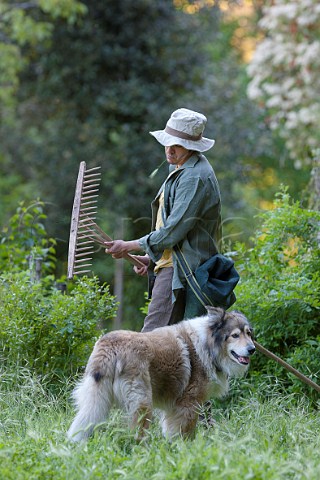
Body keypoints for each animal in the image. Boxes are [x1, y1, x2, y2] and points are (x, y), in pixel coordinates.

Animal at [67, 306, 255, 440]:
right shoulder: (188, 404)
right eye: (235, 335)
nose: (252, 349)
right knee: (137, 434)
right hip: (142, 403)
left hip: (95, 400)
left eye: (248, 333)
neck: (207, 345)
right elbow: (184, 432)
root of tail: (111, 345)